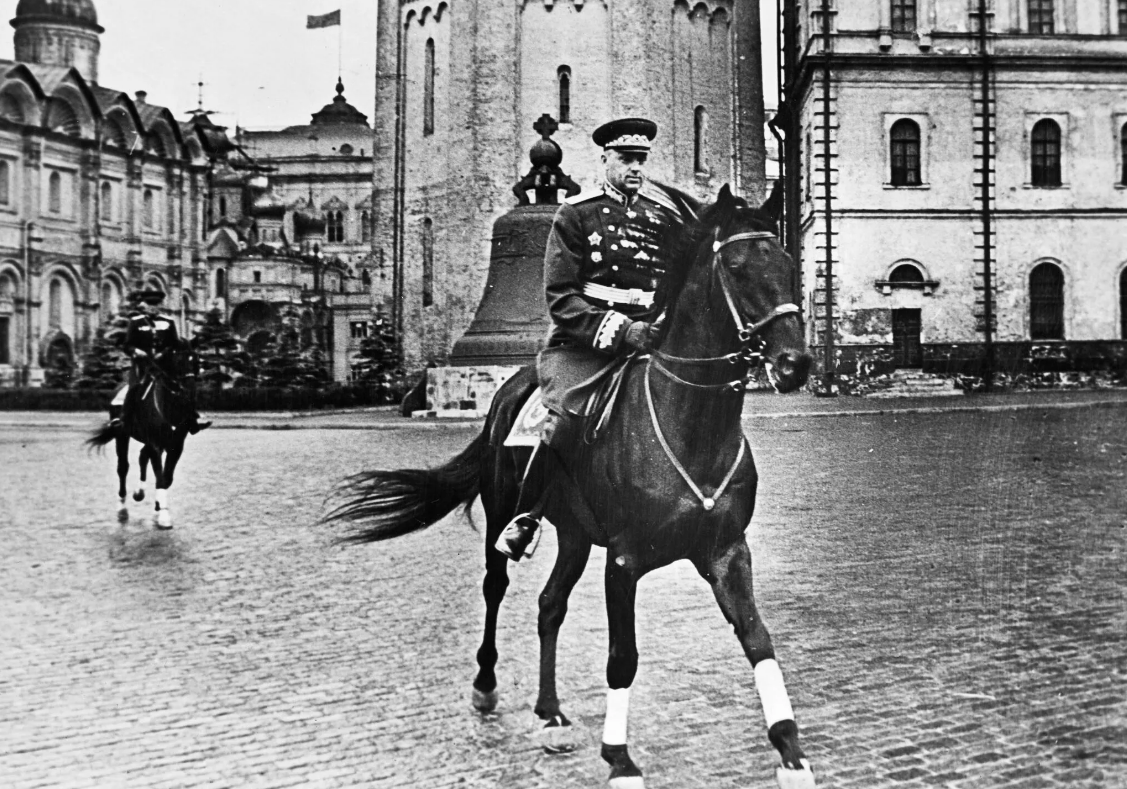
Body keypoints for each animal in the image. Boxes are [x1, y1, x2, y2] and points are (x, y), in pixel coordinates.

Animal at [88, 344, 205, 529]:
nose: (190, 391)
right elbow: (160, 476)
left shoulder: (176, 445)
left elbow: (166, 478)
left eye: (195, 360)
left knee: (143, 456)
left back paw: (139, 493)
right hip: (122, 436)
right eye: (178, 361)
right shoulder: (156, 443)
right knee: (123, 467)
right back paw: (122, 508)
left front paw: (159, 507)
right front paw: (164, 515)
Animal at [326, 185, 820, 789]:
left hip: (576, 536)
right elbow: (622, 658)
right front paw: (619, 758)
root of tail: (512, 384)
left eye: (790, 263)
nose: (795, 364)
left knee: (549, 605)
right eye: (736, 265)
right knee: (496, 589)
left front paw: (790, 751)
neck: (691, 425)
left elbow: (757, 639)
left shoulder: (726, 552)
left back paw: (551, 712)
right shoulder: (625, 561)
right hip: (503, 517)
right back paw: (486, 686)